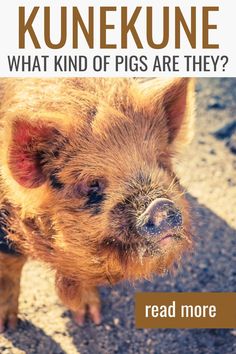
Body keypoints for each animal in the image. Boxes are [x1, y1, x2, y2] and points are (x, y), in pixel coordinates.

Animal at [0, 76, 195, 330]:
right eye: (92, 184)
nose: (160, 205)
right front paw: (8, 327)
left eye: (160, 162)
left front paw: (90, 318)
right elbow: (8, 263)